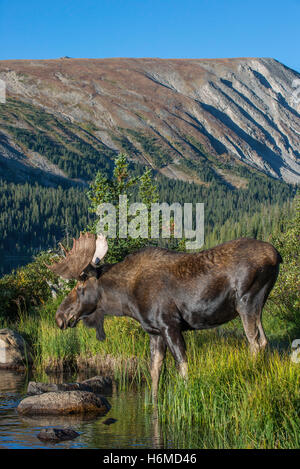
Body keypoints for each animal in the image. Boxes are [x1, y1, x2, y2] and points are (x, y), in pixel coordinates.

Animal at [48, 232, 282, 396]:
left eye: (79, 287)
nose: (60, 317)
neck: (127, 300)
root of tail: (277, 255)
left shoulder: (170, 324)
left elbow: (183, 365)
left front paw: (186, 395)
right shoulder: (154, 332)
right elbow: (155, 371)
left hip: (246, 301)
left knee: (254, 341)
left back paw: (249, 374)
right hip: (259, 303)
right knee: (264, 340)